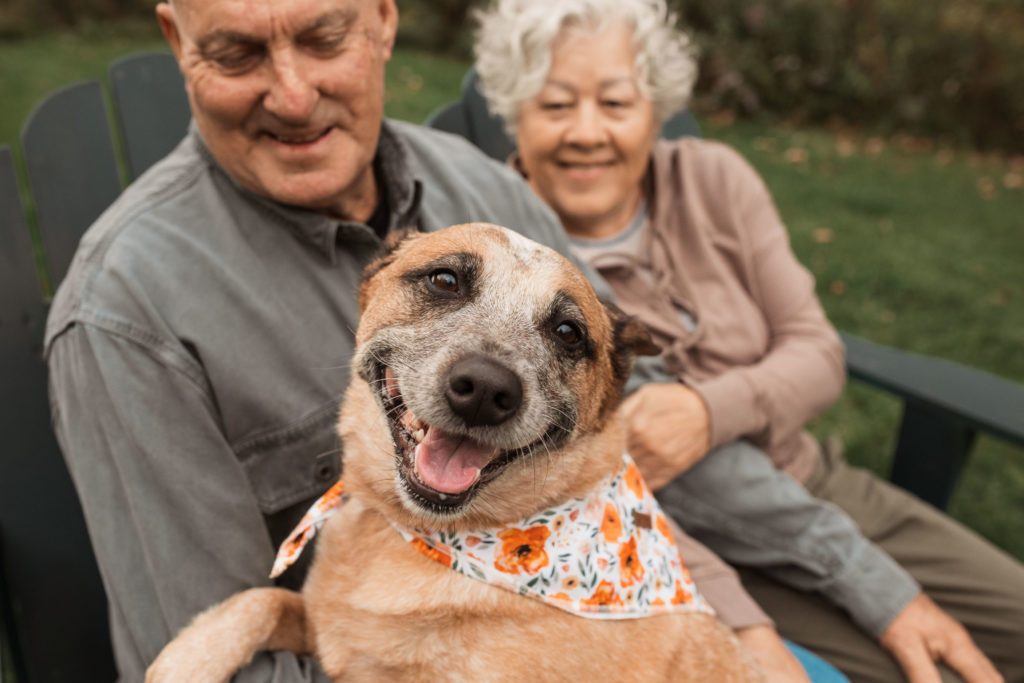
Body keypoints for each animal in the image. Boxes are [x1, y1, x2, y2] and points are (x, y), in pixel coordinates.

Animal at [146, 223, 761, 679]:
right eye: (445, 280)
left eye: (567, 332)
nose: (486, 390)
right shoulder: (327, 629)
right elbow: (264, 599)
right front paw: (189, 656)